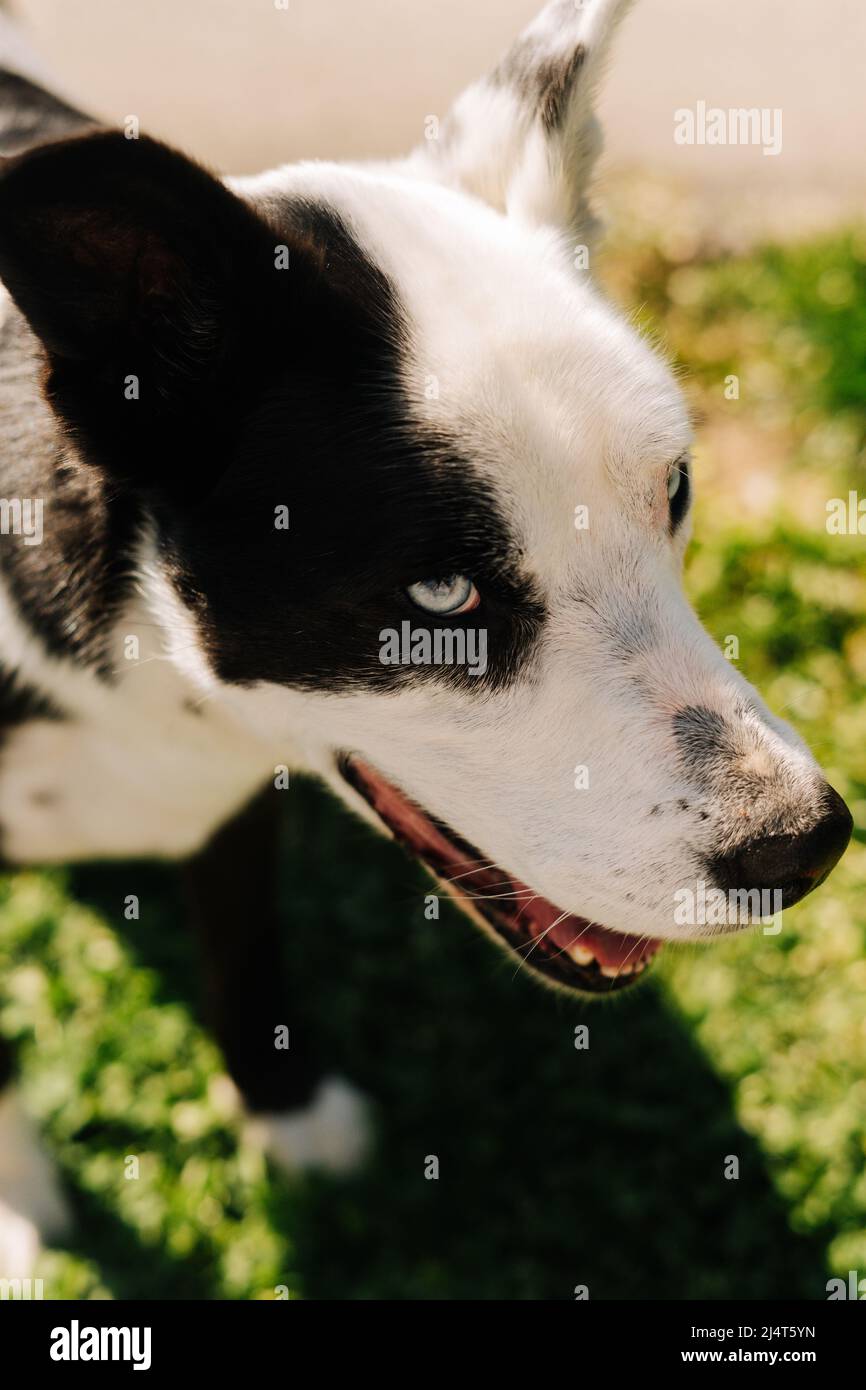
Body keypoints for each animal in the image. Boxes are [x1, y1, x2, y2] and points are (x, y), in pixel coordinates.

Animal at [0, 2, 856, 1278]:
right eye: (441, 597)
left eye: (674, 492)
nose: (804, 848)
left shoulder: (235, 800)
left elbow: (248, 945)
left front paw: (290, 1115)